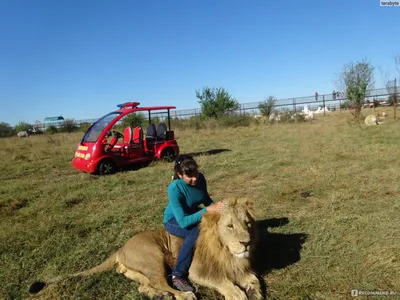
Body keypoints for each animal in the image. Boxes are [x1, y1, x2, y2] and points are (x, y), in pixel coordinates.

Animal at [31, 198, 262, 298]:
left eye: (247, 224)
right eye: (230, 226)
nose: (246, 242)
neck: (226, 251)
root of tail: (120, 248)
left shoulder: (239, 267)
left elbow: (254, 279)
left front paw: (254, 291)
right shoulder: (197, 270)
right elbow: (221, 281)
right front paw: (237, 293)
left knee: (144, 287)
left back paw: (159, 296)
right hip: (153, 258)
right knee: (162, 283)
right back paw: (183, 295)